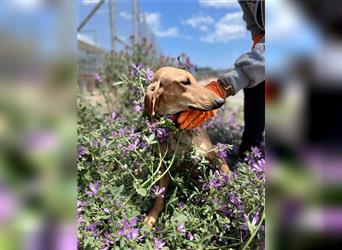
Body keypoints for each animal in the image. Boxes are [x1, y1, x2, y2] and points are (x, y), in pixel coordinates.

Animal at [143, 67, 228, 229]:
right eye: (185, 82)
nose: (220, 101)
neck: (177, 131)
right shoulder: (164, 167)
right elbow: (159, 197)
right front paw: (151, 217)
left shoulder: (214, 156)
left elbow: (228, 175)